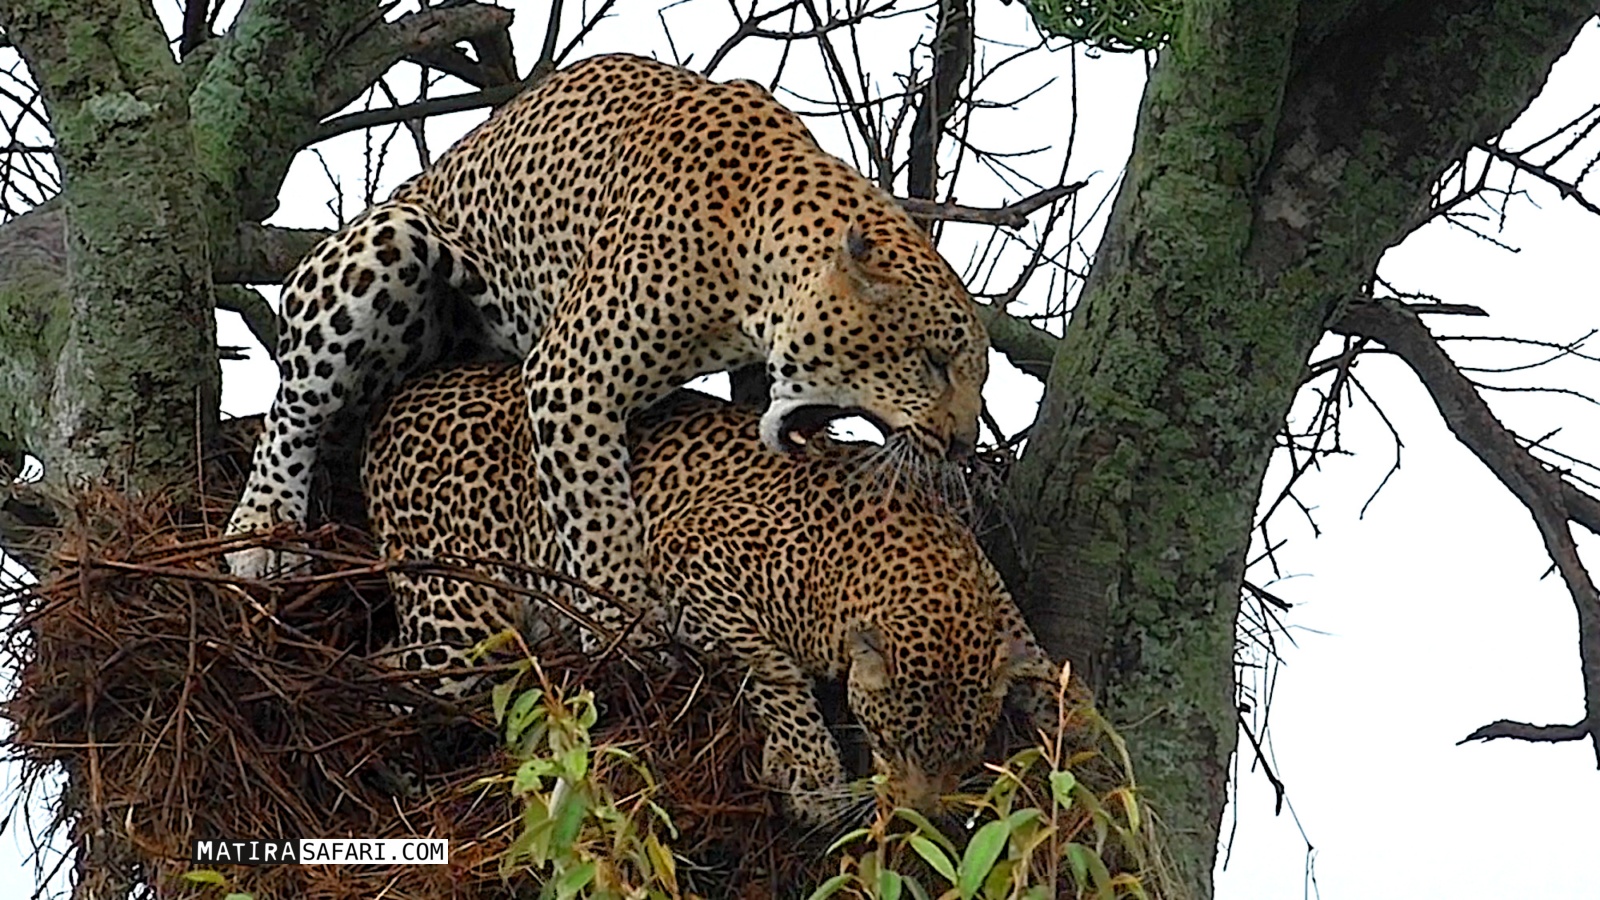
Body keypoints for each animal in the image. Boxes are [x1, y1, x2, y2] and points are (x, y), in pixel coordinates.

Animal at [222, 52, 985, 646]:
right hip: (381, 247)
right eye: (932, 362)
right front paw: (624, 627)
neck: (752, 258)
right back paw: (263, 528)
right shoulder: (571, 377)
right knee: (294, 411)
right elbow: (598, 517)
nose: (961, 445)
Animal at [364, 361, 1062, 819]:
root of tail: (402, 396)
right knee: (392, 676)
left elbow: (1055, 685)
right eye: (896, 744)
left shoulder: (1003, 612)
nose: (919, 817)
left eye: (962, 759)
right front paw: (811, 772)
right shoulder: (689, 551)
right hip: (462, 619)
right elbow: (768, 665)